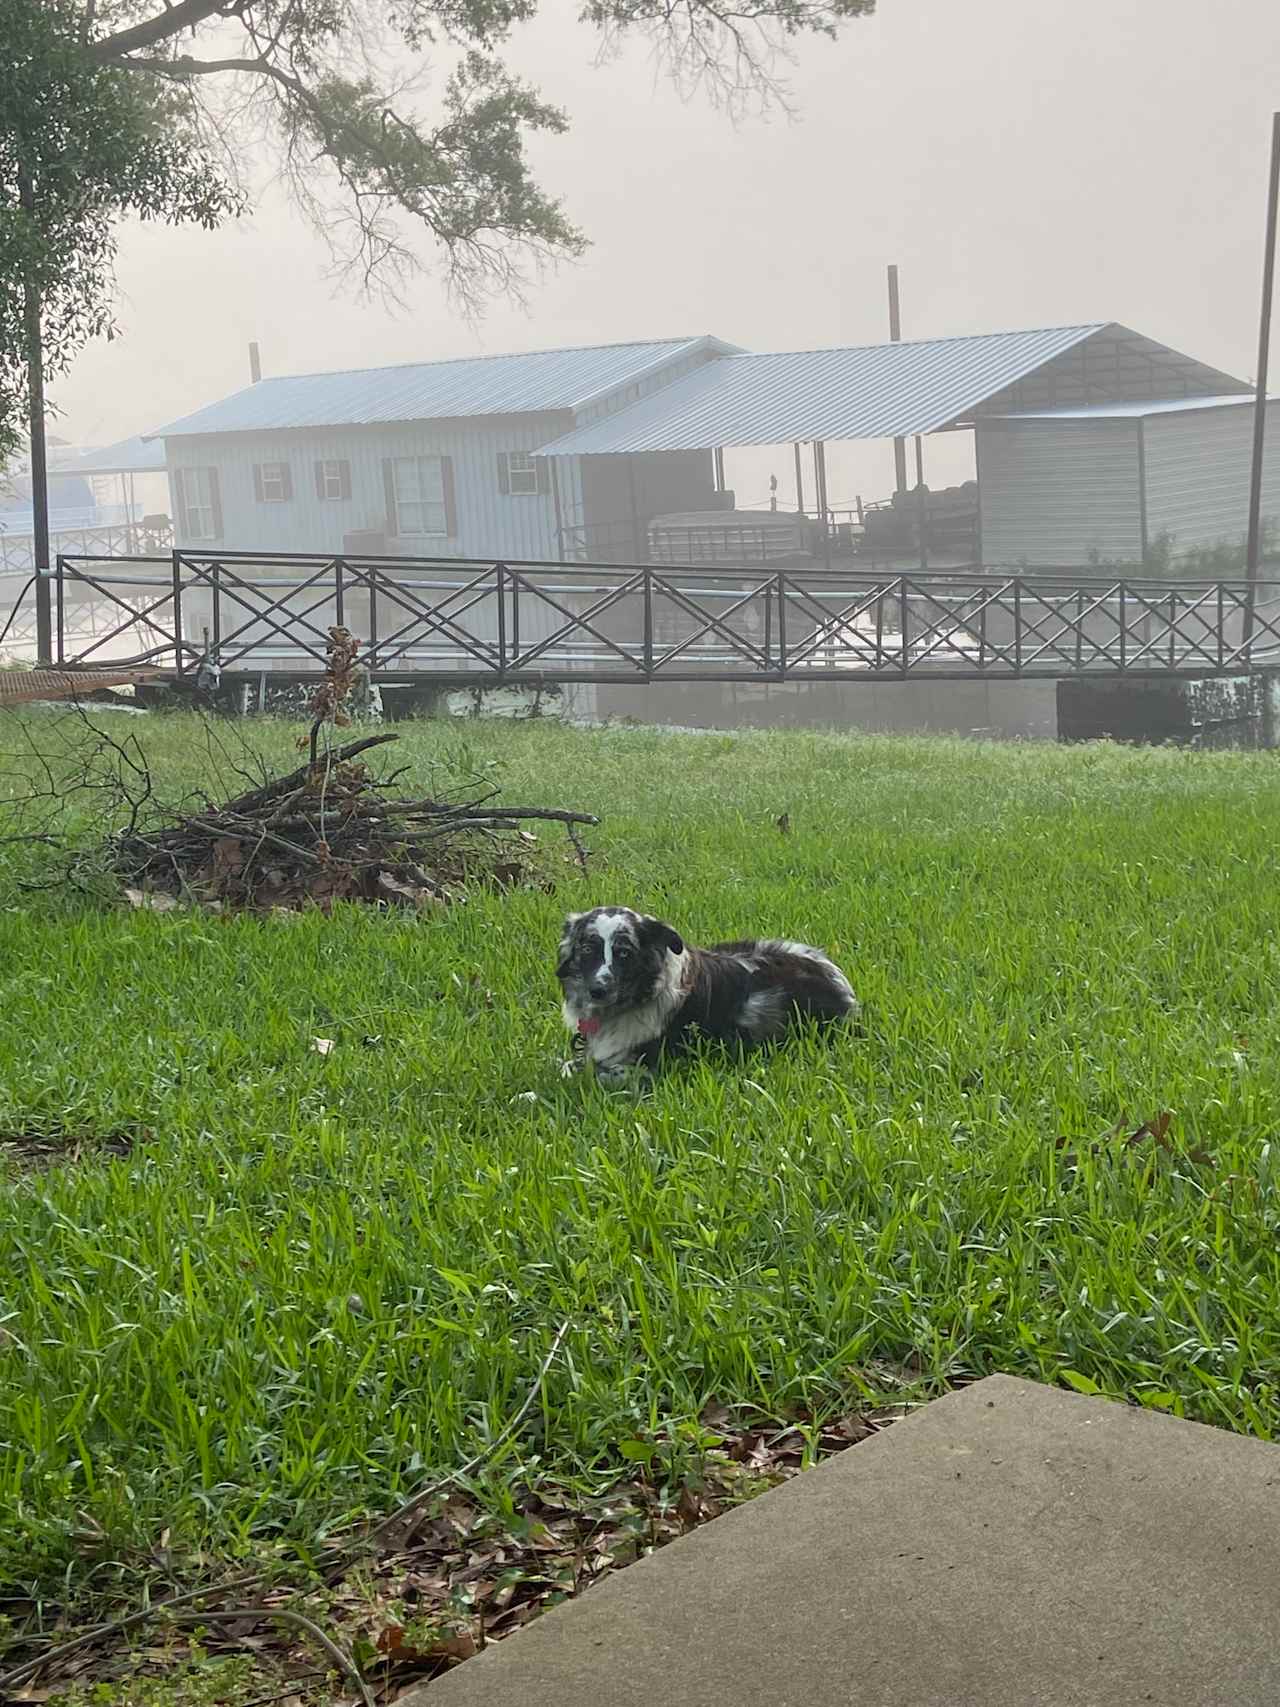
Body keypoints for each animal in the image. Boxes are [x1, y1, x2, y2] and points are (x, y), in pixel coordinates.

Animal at [556, 908, 856, 1078]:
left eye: (624, 953)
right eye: (587, 949)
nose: (598, 990)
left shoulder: (648, 1066)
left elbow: (594, 1072)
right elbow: (569, 1066)